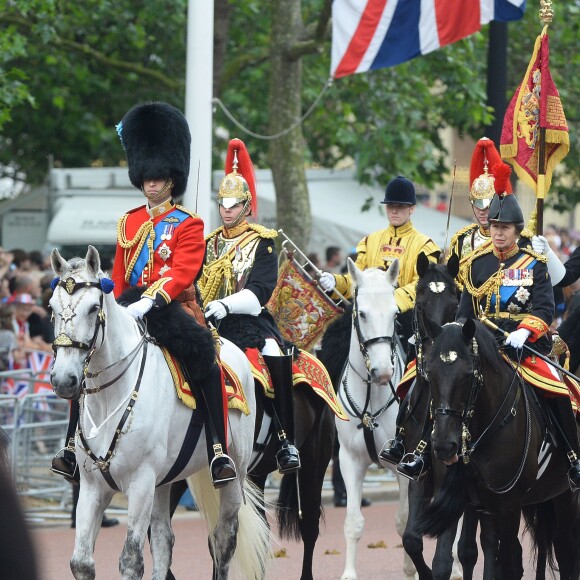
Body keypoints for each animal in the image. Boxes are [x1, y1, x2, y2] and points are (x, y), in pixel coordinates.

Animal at [48, 246, 270, 580]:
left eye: (92, 308)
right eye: (51, 307)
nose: (64, 380)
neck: (111, 396)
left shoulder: (140, 483)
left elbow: (131, 560)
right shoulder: (92, 487)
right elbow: (82, 562)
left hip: (234, 475)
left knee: (222, 540)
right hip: (164, 482)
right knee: (165, 539)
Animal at [334, 260, 414, 580]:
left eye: (395, 314)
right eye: (363, 313)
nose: (382, 372)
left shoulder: (405, 467)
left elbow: (404, 522)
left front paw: (410, 570)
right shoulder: (349, 461)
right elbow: (353, 522)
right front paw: (348, 574)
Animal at [416, 318, 580, 580]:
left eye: (468, 375)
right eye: (429, 374)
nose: (444, 445)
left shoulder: (508, 506)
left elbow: (509, 565)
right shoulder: (453, 498)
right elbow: (442, 563)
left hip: (566, 496)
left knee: (566, 551)